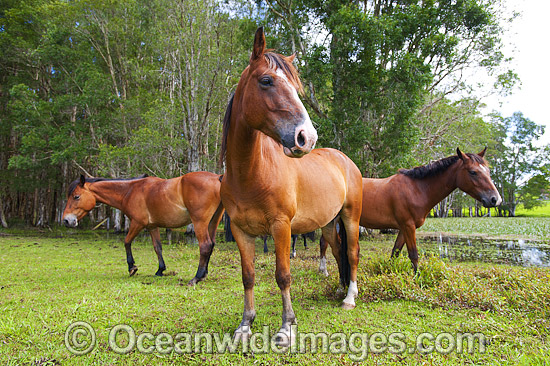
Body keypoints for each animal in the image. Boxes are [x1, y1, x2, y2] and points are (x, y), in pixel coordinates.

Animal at [64, 172, 226, 284]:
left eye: (76, 196)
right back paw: (204, 274)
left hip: (199, 222)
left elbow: (127, 241)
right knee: (211, 245)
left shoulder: (137, 223)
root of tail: (217, 178)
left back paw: (197, 277)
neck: (130, 191)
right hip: (212, 222)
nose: (66, 220)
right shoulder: (152, 226)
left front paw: (132, 267)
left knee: (205, 245)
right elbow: (157, 247)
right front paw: (160, 270)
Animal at [220, 27, 366, 346]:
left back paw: (349, 297)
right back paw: (340, 289)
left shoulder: (281, 227)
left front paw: (287, 327)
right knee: (336, 251)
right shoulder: (241, 231)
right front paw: (245, 325)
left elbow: (283, 275)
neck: (251, 174)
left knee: (351, 253)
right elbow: (248, 275)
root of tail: (344, 159)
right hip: (328, 223)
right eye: (266, 81)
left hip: (350, 217)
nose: (306, 138)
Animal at [320, 147, 504, 274]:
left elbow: (395, 252)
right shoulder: (409, 227)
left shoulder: (404, 228)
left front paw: (390, 272)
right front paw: (417, 278)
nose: (495, 199)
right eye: (473, 172)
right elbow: (413, 254)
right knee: (324, 243)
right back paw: (323, 270)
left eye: (488, 171)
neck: (417, 189)